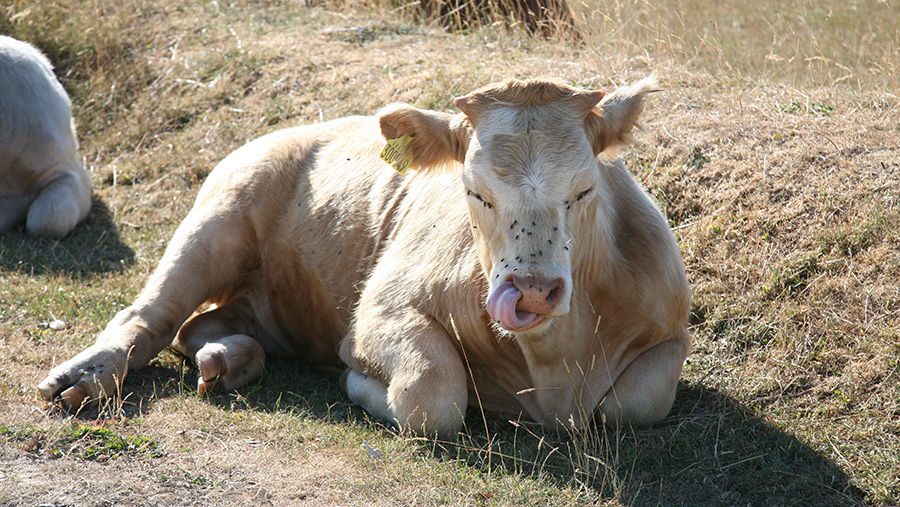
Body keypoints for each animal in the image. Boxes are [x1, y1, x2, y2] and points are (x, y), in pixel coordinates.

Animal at [37, 77, 688, 438]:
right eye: (474, 191)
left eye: (584, 189)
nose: (530, 290)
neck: (554, 366)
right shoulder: (380, 312)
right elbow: (431, 394)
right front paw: (359, 383)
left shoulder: (671, 332)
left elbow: (636, 402)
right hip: (217, 218)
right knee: (149, 317)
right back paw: (83, 377)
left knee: (199, 327)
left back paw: (228, 359)